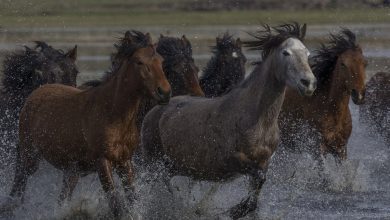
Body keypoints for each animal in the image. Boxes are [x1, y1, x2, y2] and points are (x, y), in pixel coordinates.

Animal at [6, 30, 171, 217]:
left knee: (62, 197)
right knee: (20, 179)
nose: (165, 92)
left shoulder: (124, 161)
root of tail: (35, 94)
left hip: (71, 171)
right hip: (30, 157)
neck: (113, 114)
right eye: (139, 62)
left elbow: (132, 198)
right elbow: (115, 203)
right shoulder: (103, 162)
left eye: (161, 61)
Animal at [140, 23, 316, 219]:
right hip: (154, 164)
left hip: (173, 167)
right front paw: (234, 210)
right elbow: (258, 177)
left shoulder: (264, 161)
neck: (257, 120)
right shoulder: (231, 160)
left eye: (307, 53)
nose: (308, 83)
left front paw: (240, 209)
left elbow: (258, 188)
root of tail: (154, 111)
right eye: (286, 52)